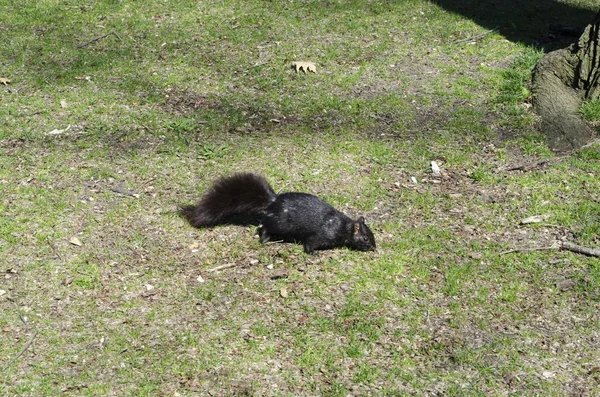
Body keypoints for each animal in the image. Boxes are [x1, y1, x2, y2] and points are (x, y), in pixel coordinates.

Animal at [178, 171, 376, 252]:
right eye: (366, 239)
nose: (374, 248)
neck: (343, 226)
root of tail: (273, 201)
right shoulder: (323, 235)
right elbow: (310, 243)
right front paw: (312, 252)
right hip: (280, 224)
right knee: (264, 227)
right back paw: (265, 239)